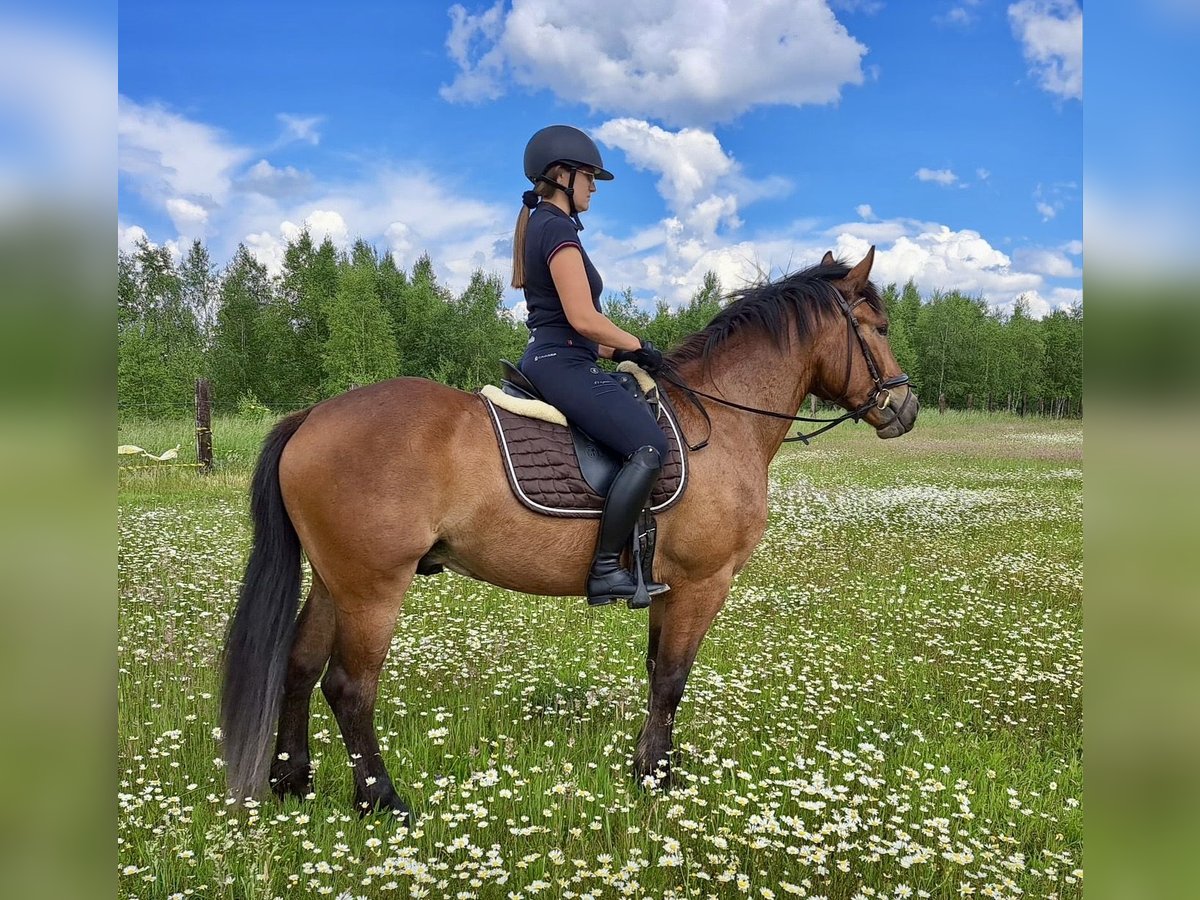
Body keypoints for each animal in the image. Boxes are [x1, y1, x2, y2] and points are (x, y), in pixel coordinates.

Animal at [220, 247, 919, 817]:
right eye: (879, 328)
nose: (905, 407)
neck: (722, 420)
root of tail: (313, 416)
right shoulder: (703, 582)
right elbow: (673, 677)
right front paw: (657, 780)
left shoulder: (667, 586)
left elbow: (655, 672)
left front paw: (650, 766)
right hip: (372, 587)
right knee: (348, 687)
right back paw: (383, 800)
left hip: (333, 579)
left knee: (299, 665)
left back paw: (293, 784)